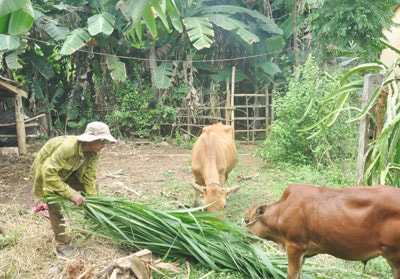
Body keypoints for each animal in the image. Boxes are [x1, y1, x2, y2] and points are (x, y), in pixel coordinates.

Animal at [244, 184, 400, 279]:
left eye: (246, 220)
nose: (242, 237)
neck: (282, 211)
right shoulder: (304, 253)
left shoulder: (295, 246)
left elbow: (292, 274)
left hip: (395, 256)